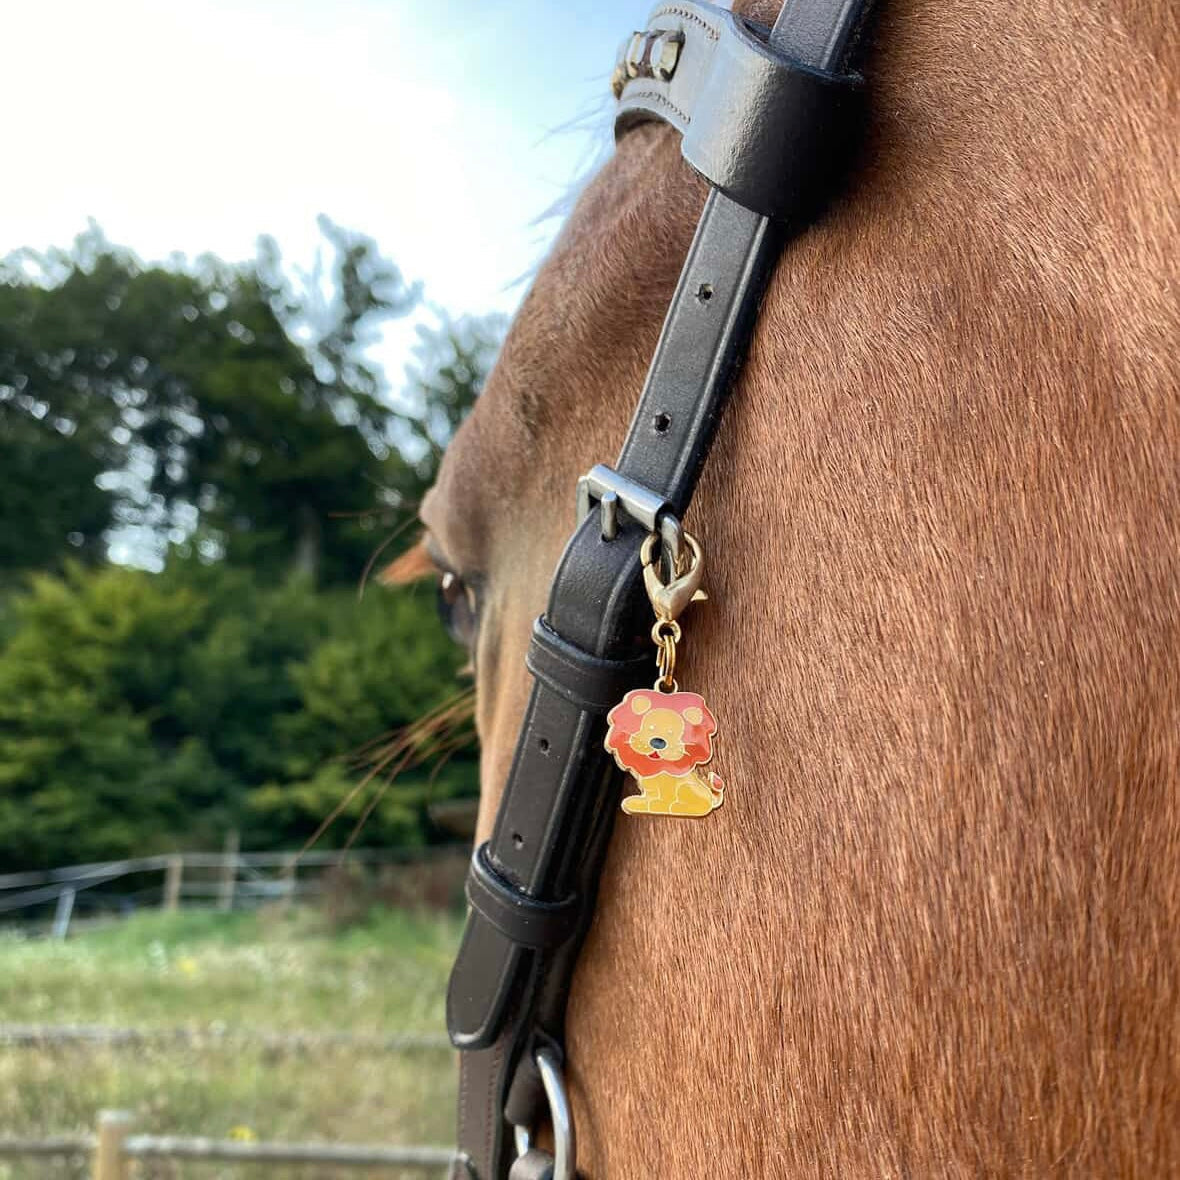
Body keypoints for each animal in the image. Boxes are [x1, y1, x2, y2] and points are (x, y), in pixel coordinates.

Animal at [604, 688, 724, 817]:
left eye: (671, 732)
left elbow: (665, 797)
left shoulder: (668, 786)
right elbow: (650, 797)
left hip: (686, 788)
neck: (659, 768)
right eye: (651, 727)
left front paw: (659, 804)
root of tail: (711, 796)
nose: (658, 741)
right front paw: (640, 804)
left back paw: (678, 806)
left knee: (703, 805)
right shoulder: (649, 787)